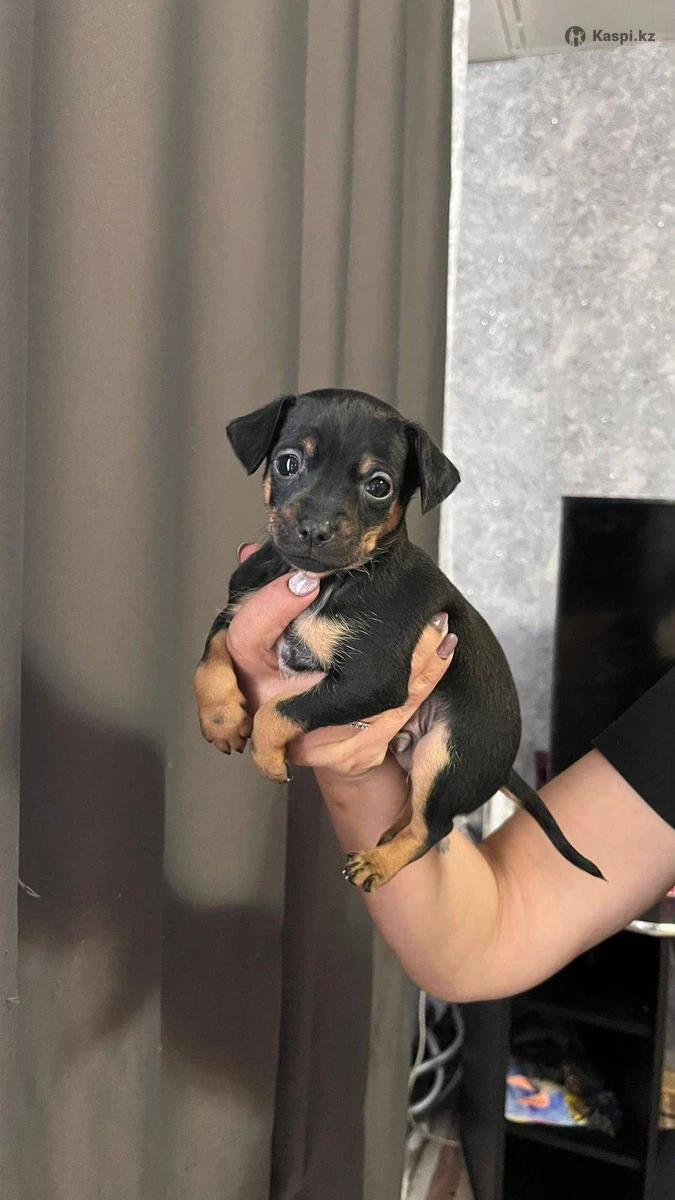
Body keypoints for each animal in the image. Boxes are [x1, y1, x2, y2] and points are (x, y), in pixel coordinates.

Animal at [194, 388, 603, 891]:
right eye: (288, 463)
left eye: (379, 486)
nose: (314, 530)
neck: (327, 582)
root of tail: (505, 765)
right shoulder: (238, 607)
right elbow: (210, 657)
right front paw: (221, 718)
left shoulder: (370, 681)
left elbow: (279, 710)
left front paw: (266, 757)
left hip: (446, 757)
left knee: (434, 828)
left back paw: (380, 862)